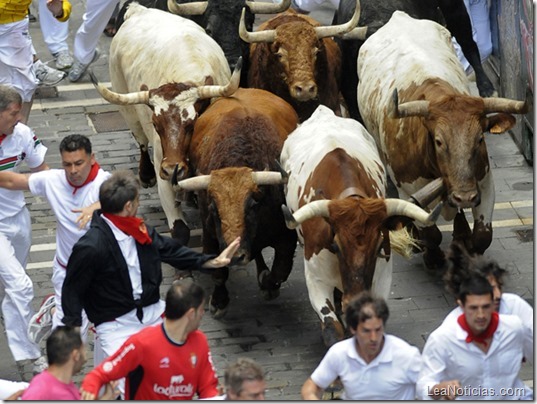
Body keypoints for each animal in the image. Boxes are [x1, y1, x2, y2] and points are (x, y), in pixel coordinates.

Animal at [278, 105, 438, 346]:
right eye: (335, 246)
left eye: (379, 246)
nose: (353, 299)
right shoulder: (316, 279)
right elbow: (332, 329)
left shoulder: (382, 278)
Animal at [356, 10, 528, 268]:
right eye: (438, 141)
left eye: (480, 139)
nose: (465, 196)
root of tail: (398, 16)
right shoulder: (409, 190)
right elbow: (431, 233)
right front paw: (432, 256)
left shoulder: (483, 181)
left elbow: (482, 235)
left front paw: (466, 243)